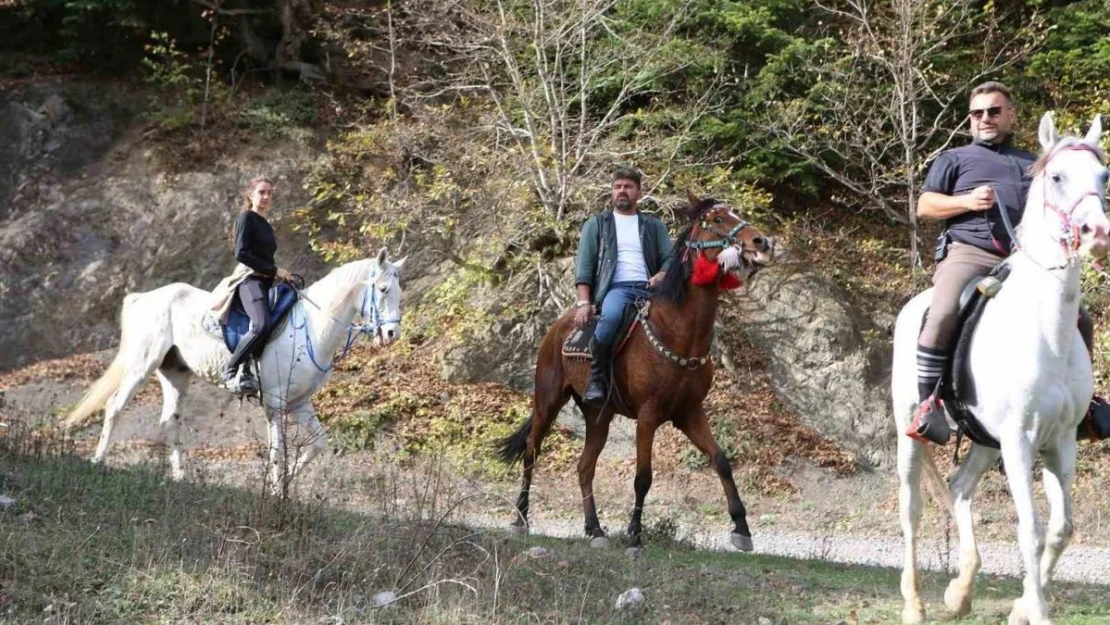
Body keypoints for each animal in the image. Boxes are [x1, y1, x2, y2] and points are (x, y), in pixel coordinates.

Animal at [62, 247, 408, 490]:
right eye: (383, 290)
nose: (391, 334)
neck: (311, 327)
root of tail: (142, 297)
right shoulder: (275, 404)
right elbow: (276, 449)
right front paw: (275, 491)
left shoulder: (299, 404)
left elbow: (318, 444)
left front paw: (286, 484)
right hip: (141, 365)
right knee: (115, 407)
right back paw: (98, 461)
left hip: (175, 375)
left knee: (170, 420)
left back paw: (179, 477)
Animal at [497, 197, 772, 550]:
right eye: (718, 219)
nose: (760, 241)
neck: (676, 332)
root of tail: (558, 327)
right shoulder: (648, 415)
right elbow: (643, 477)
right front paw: (635, 535)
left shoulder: (690, 413)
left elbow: (721, 460)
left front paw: (741, 528)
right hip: (548, 401)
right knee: (532, 452)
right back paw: (521, 518)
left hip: (598, 415)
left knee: (585, 467)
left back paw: (595, 529)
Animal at [892, 113, 1110, 625]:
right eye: (1057, 177)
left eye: (1103, 176)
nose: (1096, 232)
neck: (1045, 330)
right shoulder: (1019, 441)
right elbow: (1030, 530)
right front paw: (1038, 612)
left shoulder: (1059, 441)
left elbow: (1062, 528)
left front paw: (1022, 606)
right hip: (911, 434)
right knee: (911, 510)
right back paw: (914, 604)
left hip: (984, 441)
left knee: (959, 488)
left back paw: (960, 590)